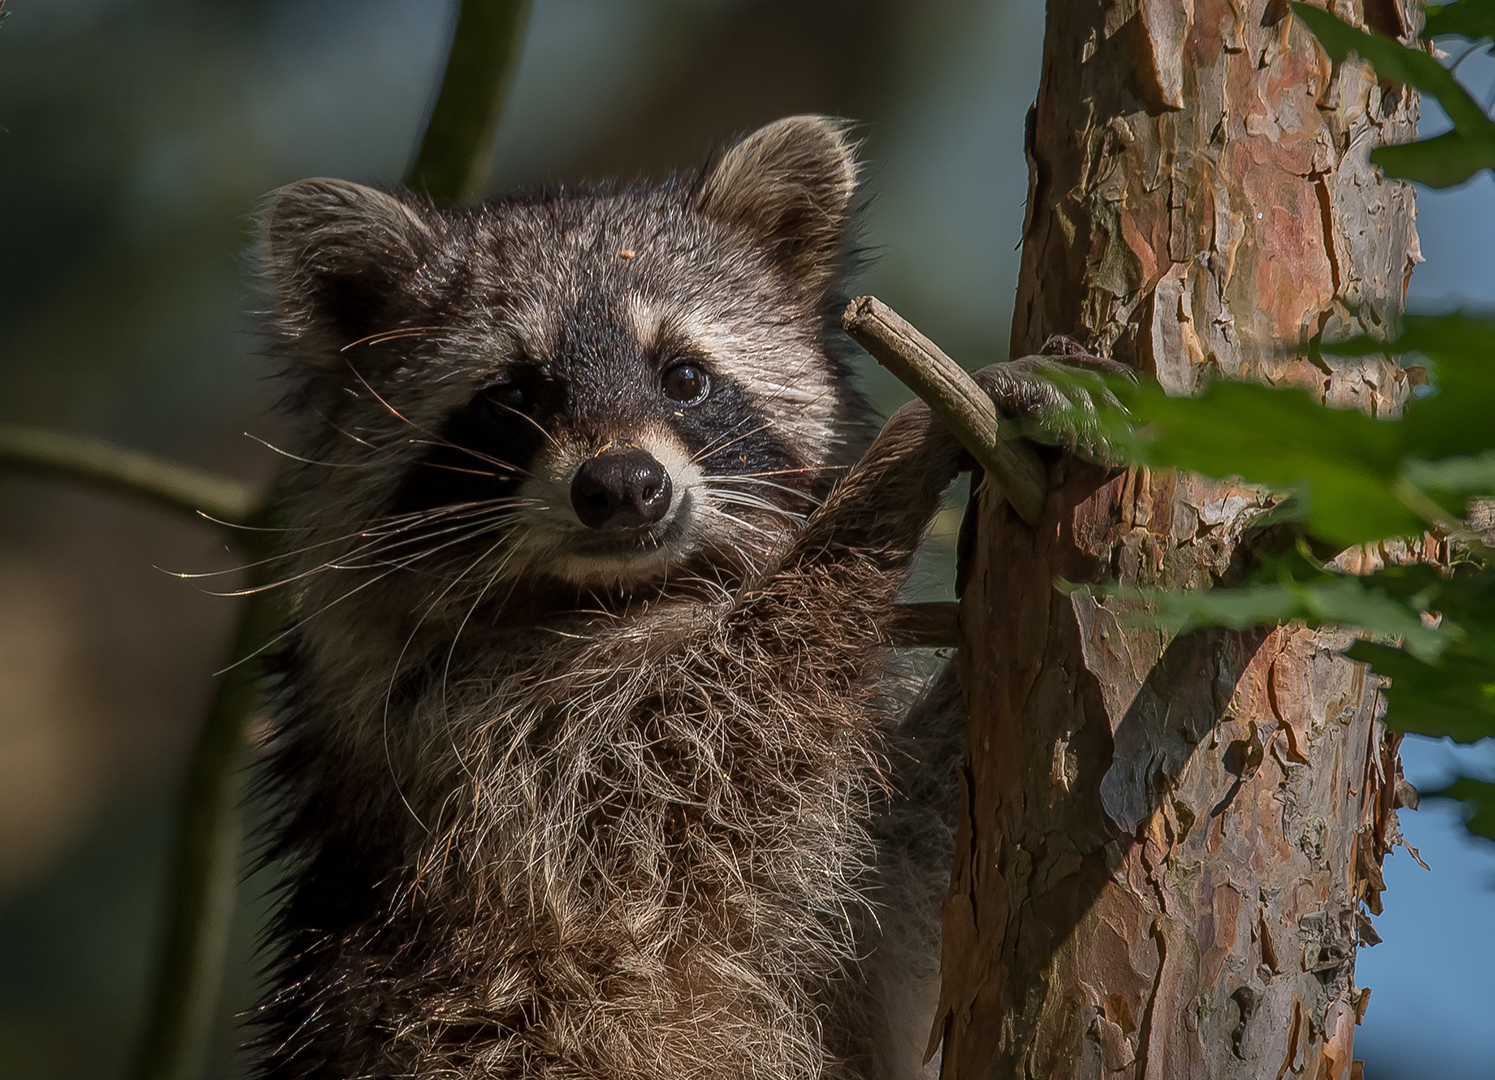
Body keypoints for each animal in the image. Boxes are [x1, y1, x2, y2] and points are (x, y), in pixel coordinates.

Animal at [254, 118, 1100, 1077]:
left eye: (684, 378)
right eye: (513, 395)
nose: (624, 486)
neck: (625, 591)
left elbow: (914, 865)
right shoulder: (475, 758)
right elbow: (715, 740)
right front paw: (891, 466)